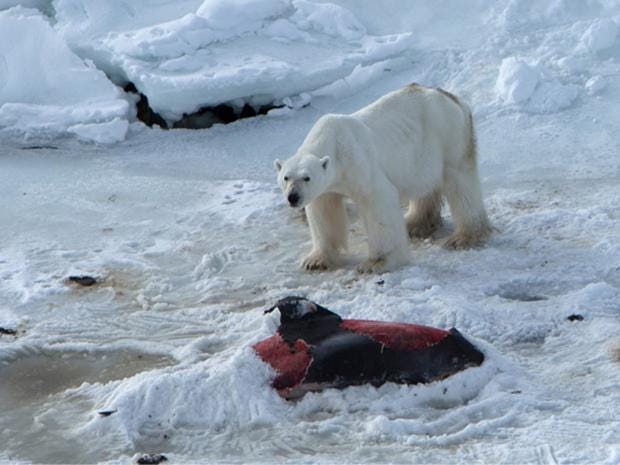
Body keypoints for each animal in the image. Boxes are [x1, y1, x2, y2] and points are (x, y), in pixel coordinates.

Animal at [274, 83, 492, 272]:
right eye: (286, 177)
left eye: (307, 177)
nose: (293, 197)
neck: (333, 143)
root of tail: (452, 97)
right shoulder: (326, 188)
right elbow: (323, 211)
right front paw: (315, 260)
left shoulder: (358, 163)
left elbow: (377, 200)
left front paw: (376, 263)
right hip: (421, 155)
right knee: (424, 185)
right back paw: (414, 223)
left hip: (448, 137)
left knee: (461, 183)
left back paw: (464, 236)